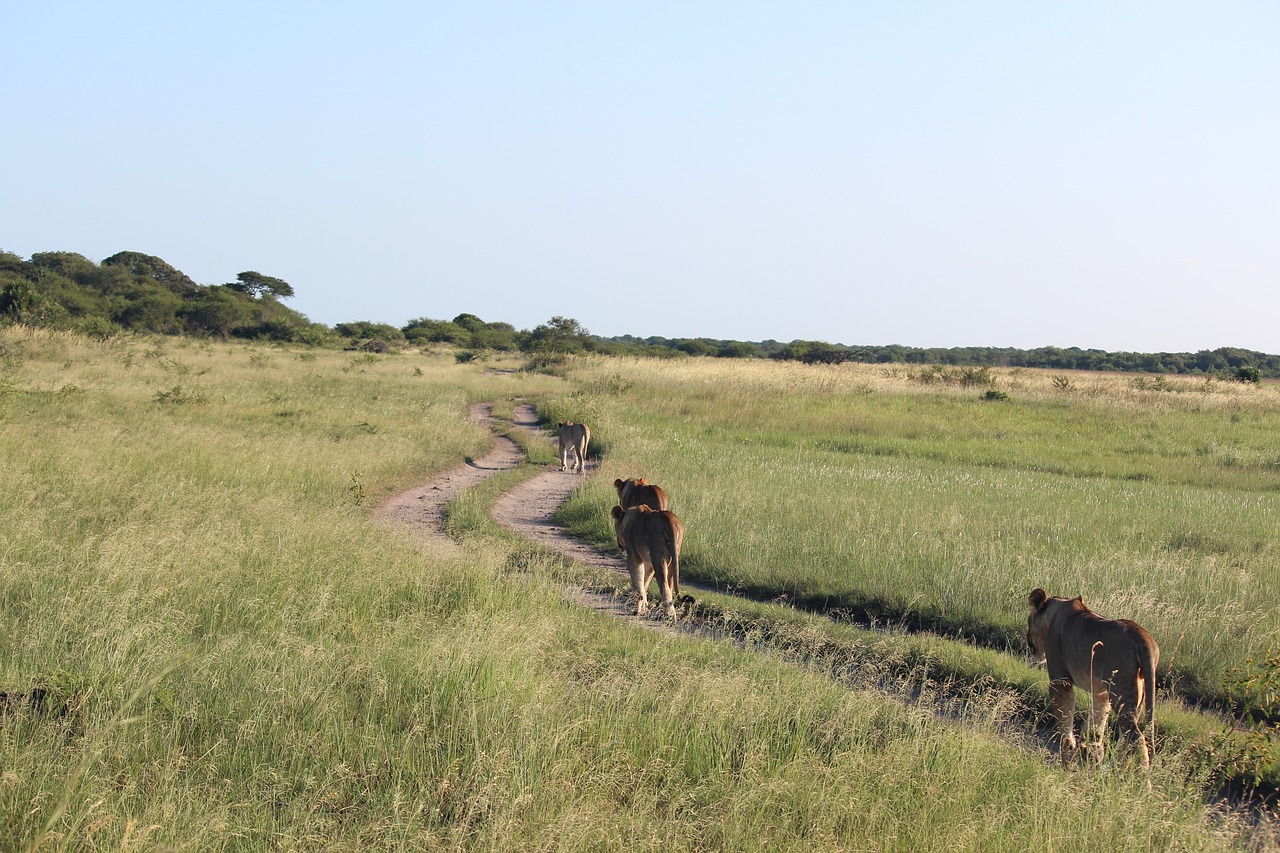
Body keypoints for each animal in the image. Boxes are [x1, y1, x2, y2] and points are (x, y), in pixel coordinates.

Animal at [1029, 589, 1162, 768]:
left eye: (1029, 622)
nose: (1029, 643)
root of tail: (1144, 639)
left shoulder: (1060, 679)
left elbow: (1064, 714)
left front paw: (1068, 746)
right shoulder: (1101, 691)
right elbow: (1098, 718)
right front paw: (1089, 746)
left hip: (1122, 693)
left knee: (1135, 736)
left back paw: (1133, 773)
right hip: (1137, 694)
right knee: (1126, 735)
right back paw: (1111, 767)